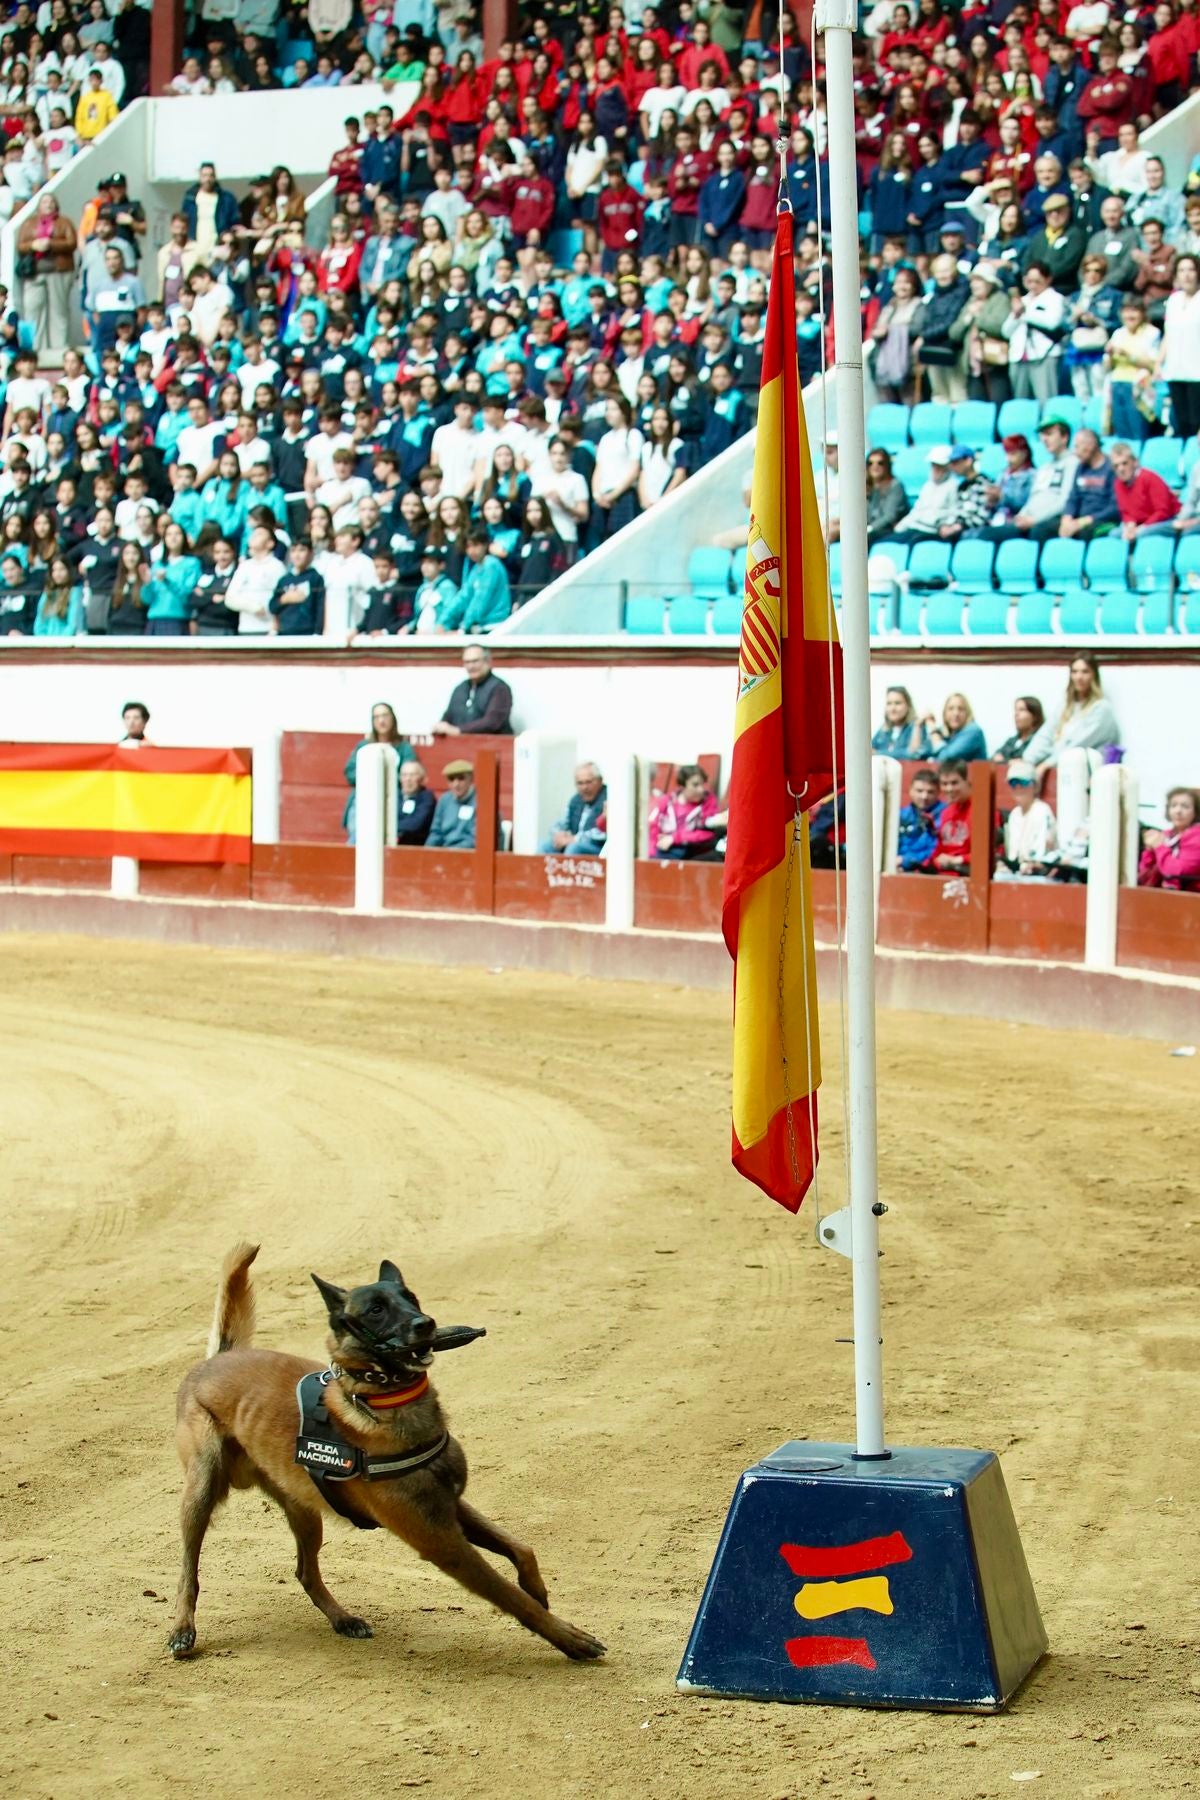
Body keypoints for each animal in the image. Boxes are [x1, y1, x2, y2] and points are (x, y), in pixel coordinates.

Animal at [169, 1245, 604, 1663]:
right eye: (376, 1310)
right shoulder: (440, 1539)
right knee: (189, 1571)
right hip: (201, 1491)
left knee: (306, 1572)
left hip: (304, 1509)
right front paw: (570, 1638)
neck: (386, 1403)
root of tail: (217, 1359)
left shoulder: (450, 1507)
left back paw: (343, 1619)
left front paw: (538, 1591)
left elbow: (521, 1548)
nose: (425, 1324)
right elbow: (509, 1597)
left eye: (410, 1297)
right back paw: (182, 1630)